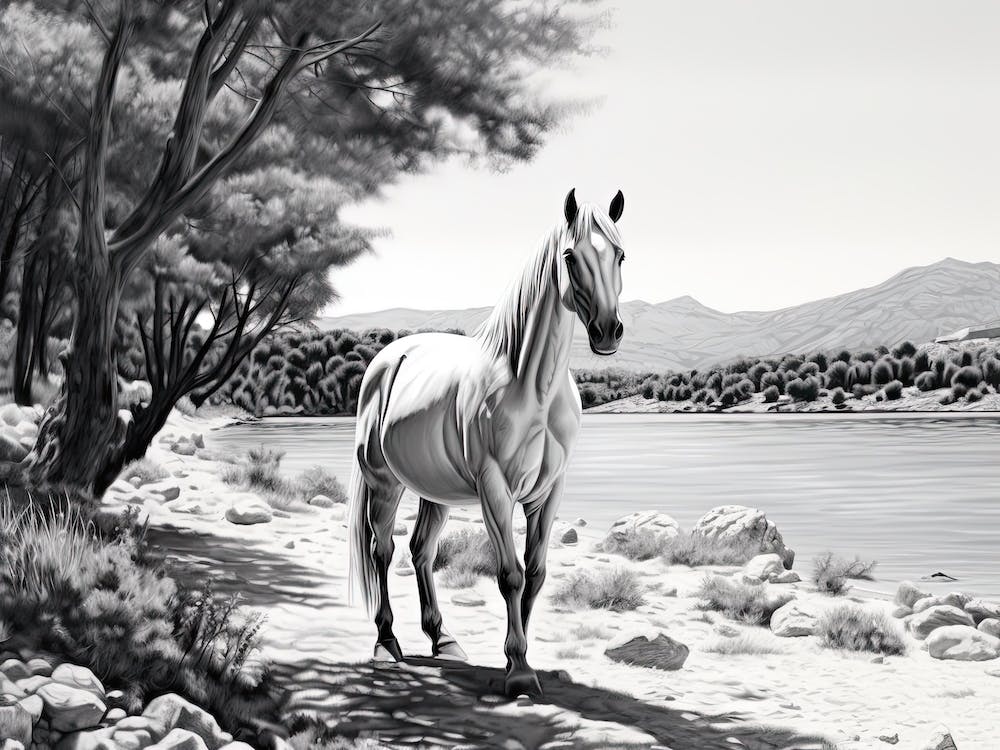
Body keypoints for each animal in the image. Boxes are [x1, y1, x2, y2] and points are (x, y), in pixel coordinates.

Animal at [347, 189, 626, 697]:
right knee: (383, 550)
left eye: (619, 254)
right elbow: (510, 575)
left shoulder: (548, 492)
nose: (607, 331)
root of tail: (387, 357)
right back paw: (387, 642)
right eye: (570, 256)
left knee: (421, 550)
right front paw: (518, 671)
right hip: (384, 484)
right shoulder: (495, 488)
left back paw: (442, 638)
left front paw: (522, 657)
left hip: (434, 490)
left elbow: (535, 574)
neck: (531, 386)